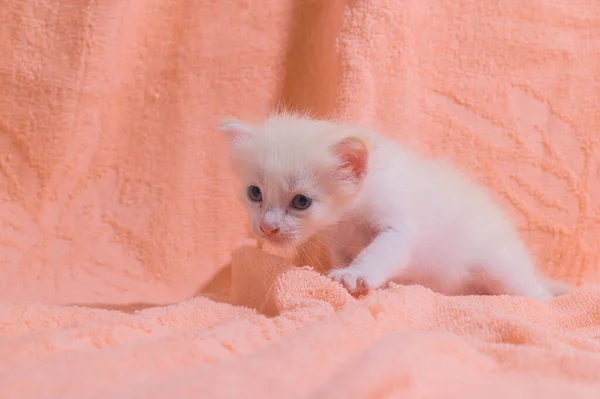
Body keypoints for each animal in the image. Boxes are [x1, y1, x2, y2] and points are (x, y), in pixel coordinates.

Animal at [220, 112, 572, 300]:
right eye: (255, 193)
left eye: (301, 202)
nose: (266, 227)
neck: (348, 216)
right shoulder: (339, 243)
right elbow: (345, 255)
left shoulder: (398, 226)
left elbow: (379, 252)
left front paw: (355, 275)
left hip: (501, 268)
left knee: (533, 292)